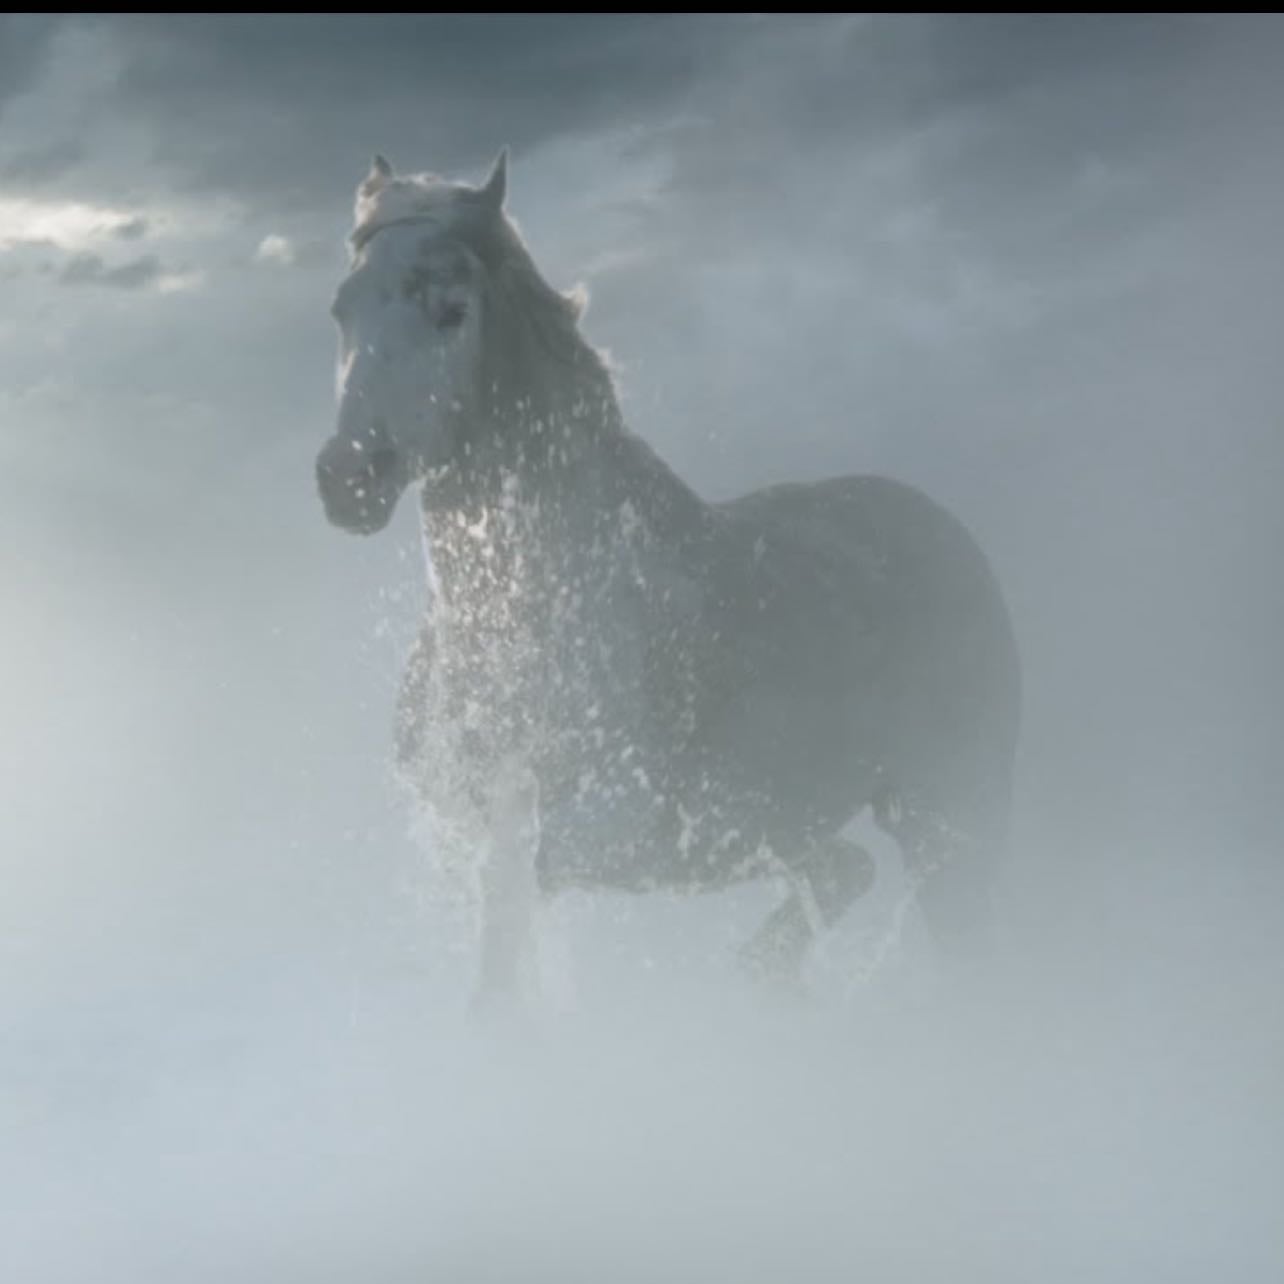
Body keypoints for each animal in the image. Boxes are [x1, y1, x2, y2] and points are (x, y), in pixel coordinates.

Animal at [314, 150, 1022, 1011]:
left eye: (451, 310)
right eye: (341, 310)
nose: (348, 480)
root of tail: (942, 528)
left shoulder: (619, 826)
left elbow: (511, 907)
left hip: (948, 818)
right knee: (842, 873)